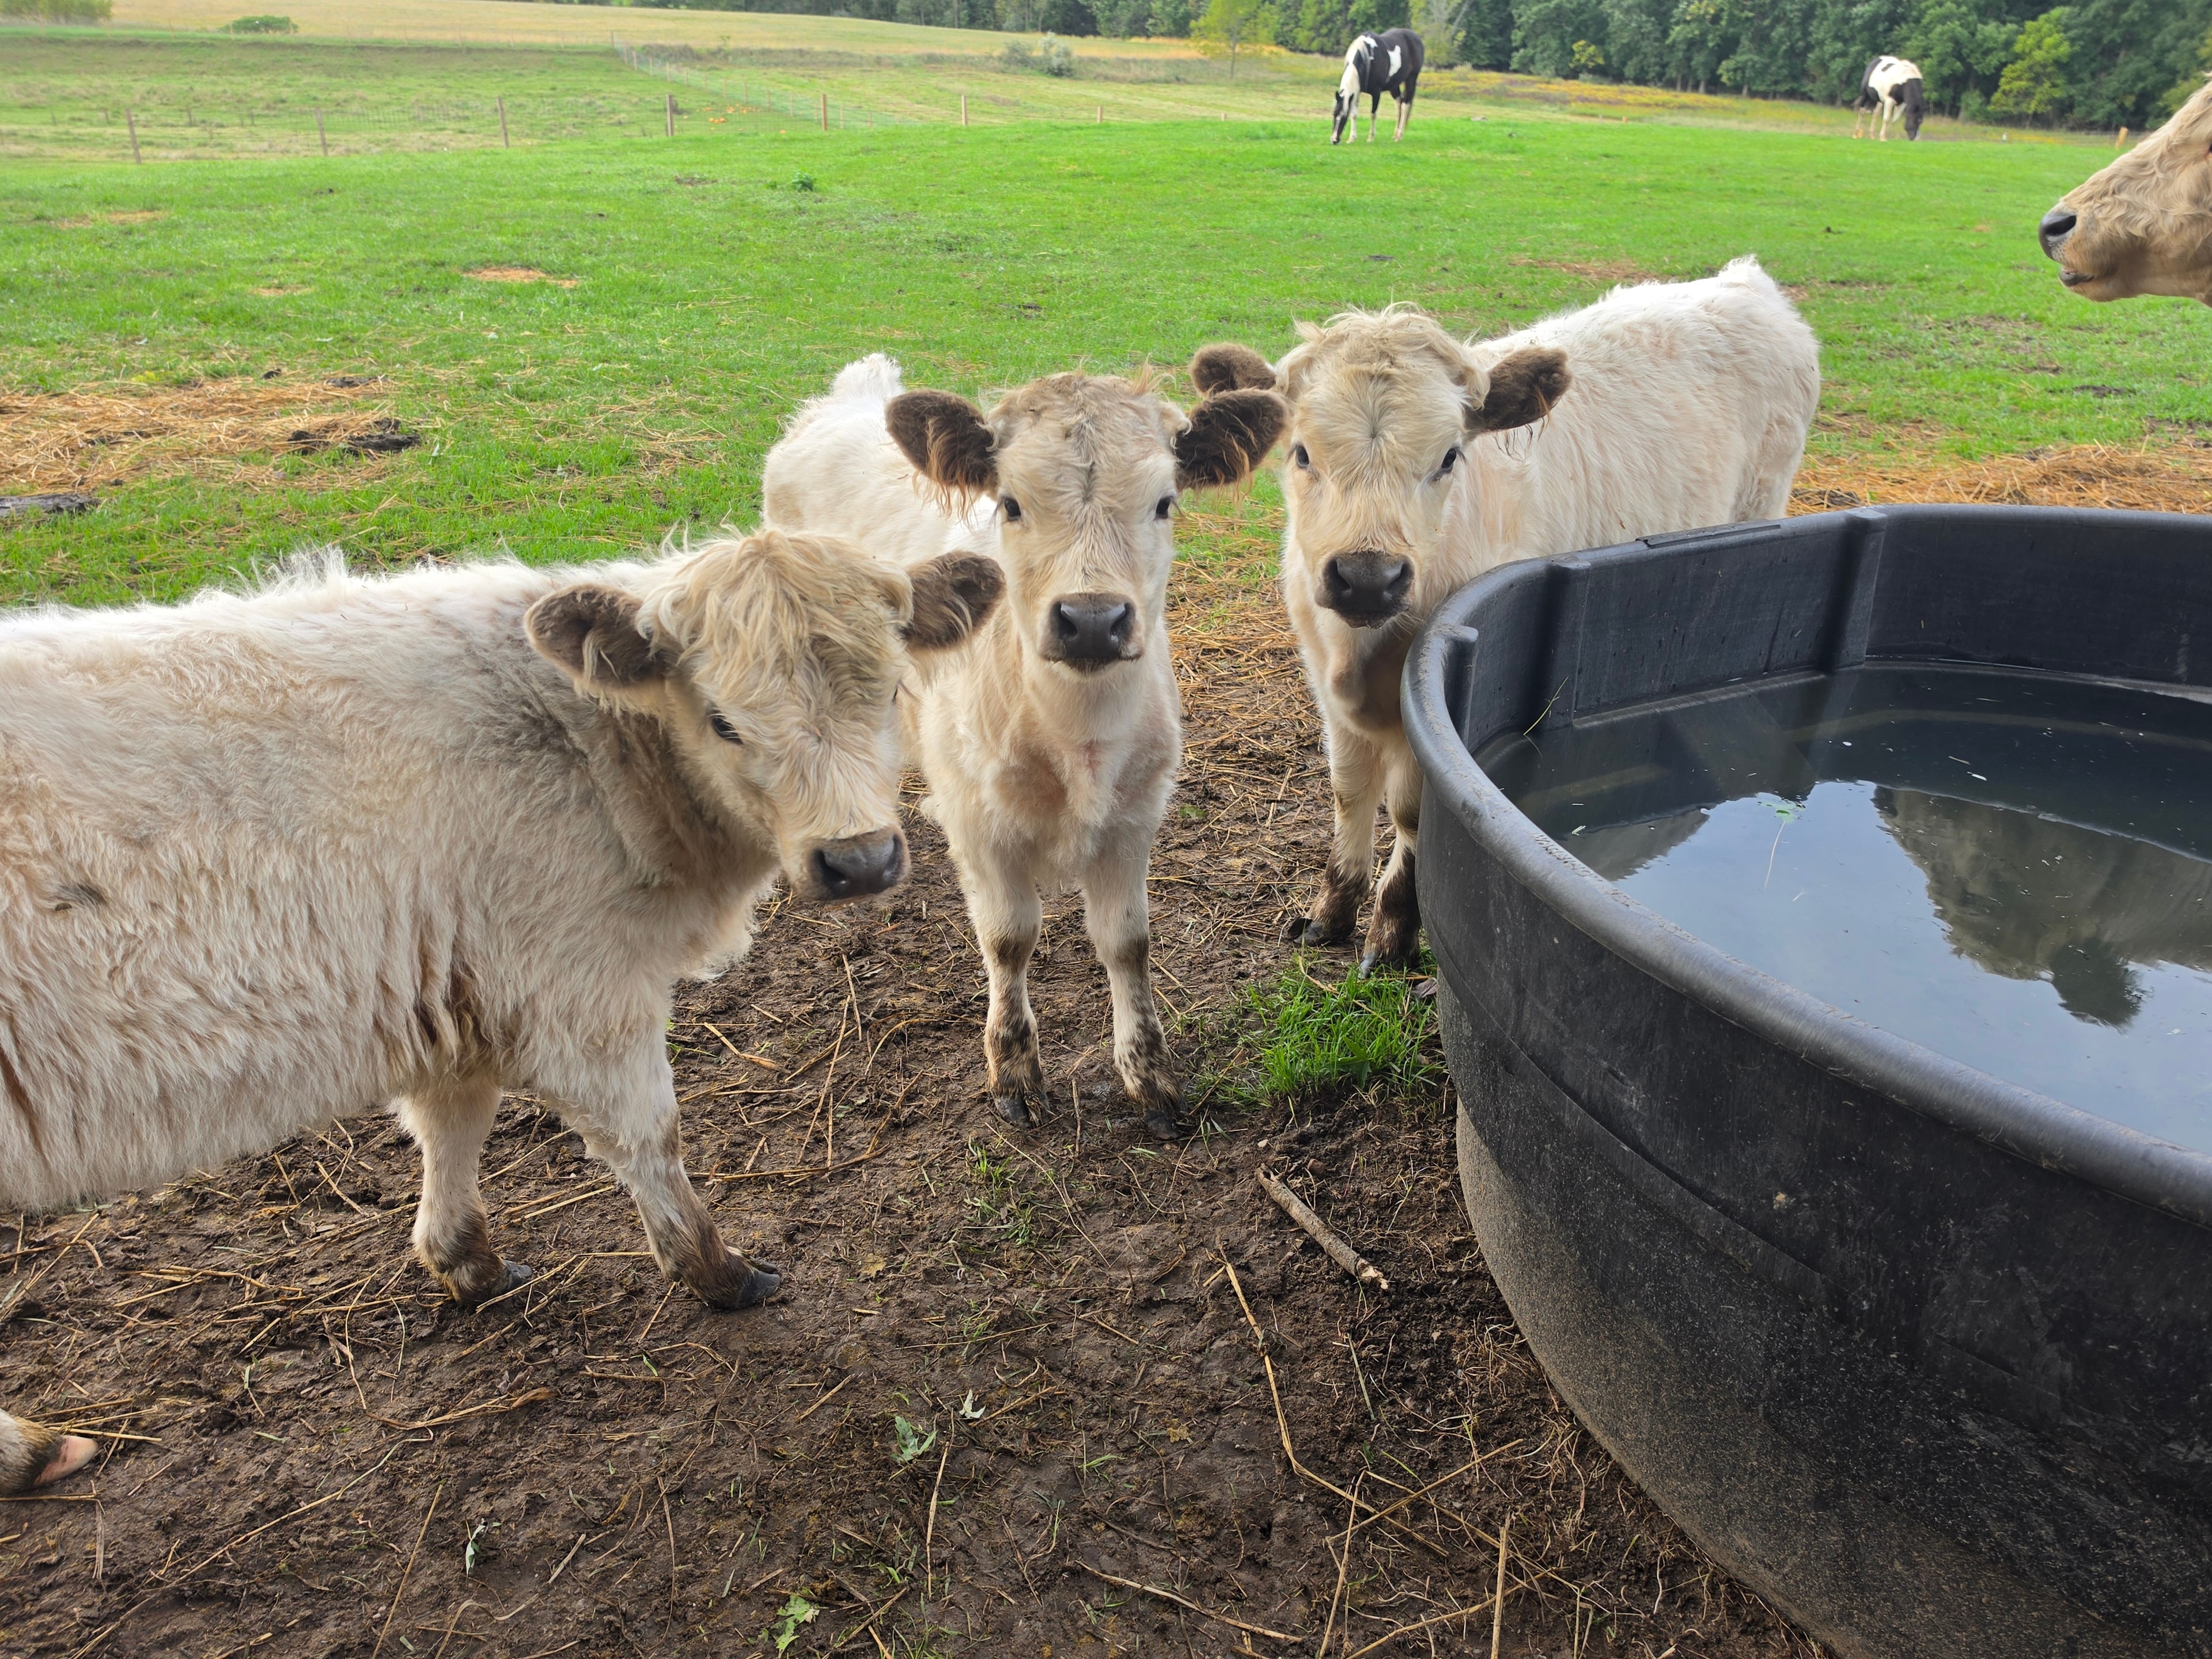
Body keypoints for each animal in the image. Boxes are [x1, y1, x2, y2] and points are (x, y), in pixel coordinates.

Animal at [0, 530, 1000, 1494]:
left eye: (894, 689)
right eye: (723, 721)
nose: (859, 860)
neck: (595, 757)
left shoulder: (450, 986)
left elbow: (454, 1123)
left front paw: (463, 1259)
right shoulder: (580, 988)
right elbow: (649, 1137)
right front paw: (716, 1271)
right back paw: (30, 1450)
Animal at [762, 356, 1285, 1138]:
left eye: (1165, 503)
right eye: (1009, 503)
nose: (1092, 621)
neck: (1077, 741)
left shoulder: (1136, 817)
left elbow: (1128, 942)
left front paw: (1151, 1076)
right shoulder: (984, 830)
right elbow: (1008, 938)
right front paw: (1013, 1070)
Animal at [1192, 257, 1820, 970]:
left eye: (1448, 457)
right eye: (1301, 453)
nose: (1367, 579)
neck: (1362, 656)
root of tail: (1743, 279)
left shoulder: (1434, 707)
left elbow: (1412, 813)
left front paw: (1393, 932)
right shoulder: (1327, 689)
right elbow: (1349, 792)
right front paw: (1331, 911)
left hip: (1762, 502)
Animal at [1333, 28, 1424, 145]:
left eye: (1344, 117)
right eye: (1334, 114)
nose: (1334, 140)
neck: (1368, 59)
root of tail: (1417, 38)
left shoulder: (1376, 93)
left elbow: (1373, 114)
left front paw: (1371, 138)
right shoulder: (1357, 92)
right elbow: (1354, 114)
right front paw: (1352, 138)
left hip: (1411, 80)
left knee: (1405, 106)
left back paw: (1399, 135)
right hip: (1394, 86)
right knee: (1399, 104)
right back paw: (1395, 135)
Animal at [1854, 55, 1925, 141]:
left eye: (1921, 122)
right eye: (1914, 120)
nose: (1914, 138)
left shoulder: (1901, 104)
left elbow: (1894, 119)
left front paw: (1886, 136)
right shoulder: (1889, 101)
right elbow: (1887, 119)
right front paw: (1883, 137)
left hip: (1880, 100)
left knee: (1876, 113)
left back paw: (1872, 135)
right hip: (1866, 95)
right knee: (1862, 112)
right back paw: (1855, 134)